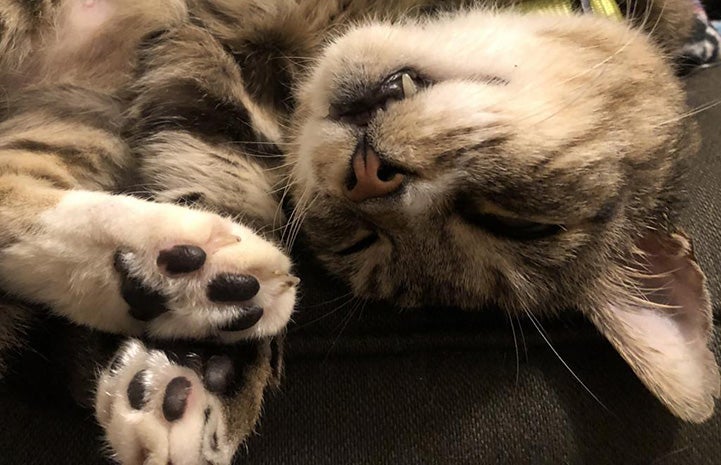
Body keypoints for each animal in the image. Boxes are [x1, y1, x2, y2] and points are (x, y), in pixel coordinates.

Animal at [1, 0, 720, 462]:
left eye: (359, 240)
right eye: (517, 223)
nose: (365, 175)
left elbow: (218, 169)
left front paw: (207, 374)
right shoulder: (210, 54)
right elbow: (212, 160)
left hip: (74, 121)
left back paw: (174, 273)